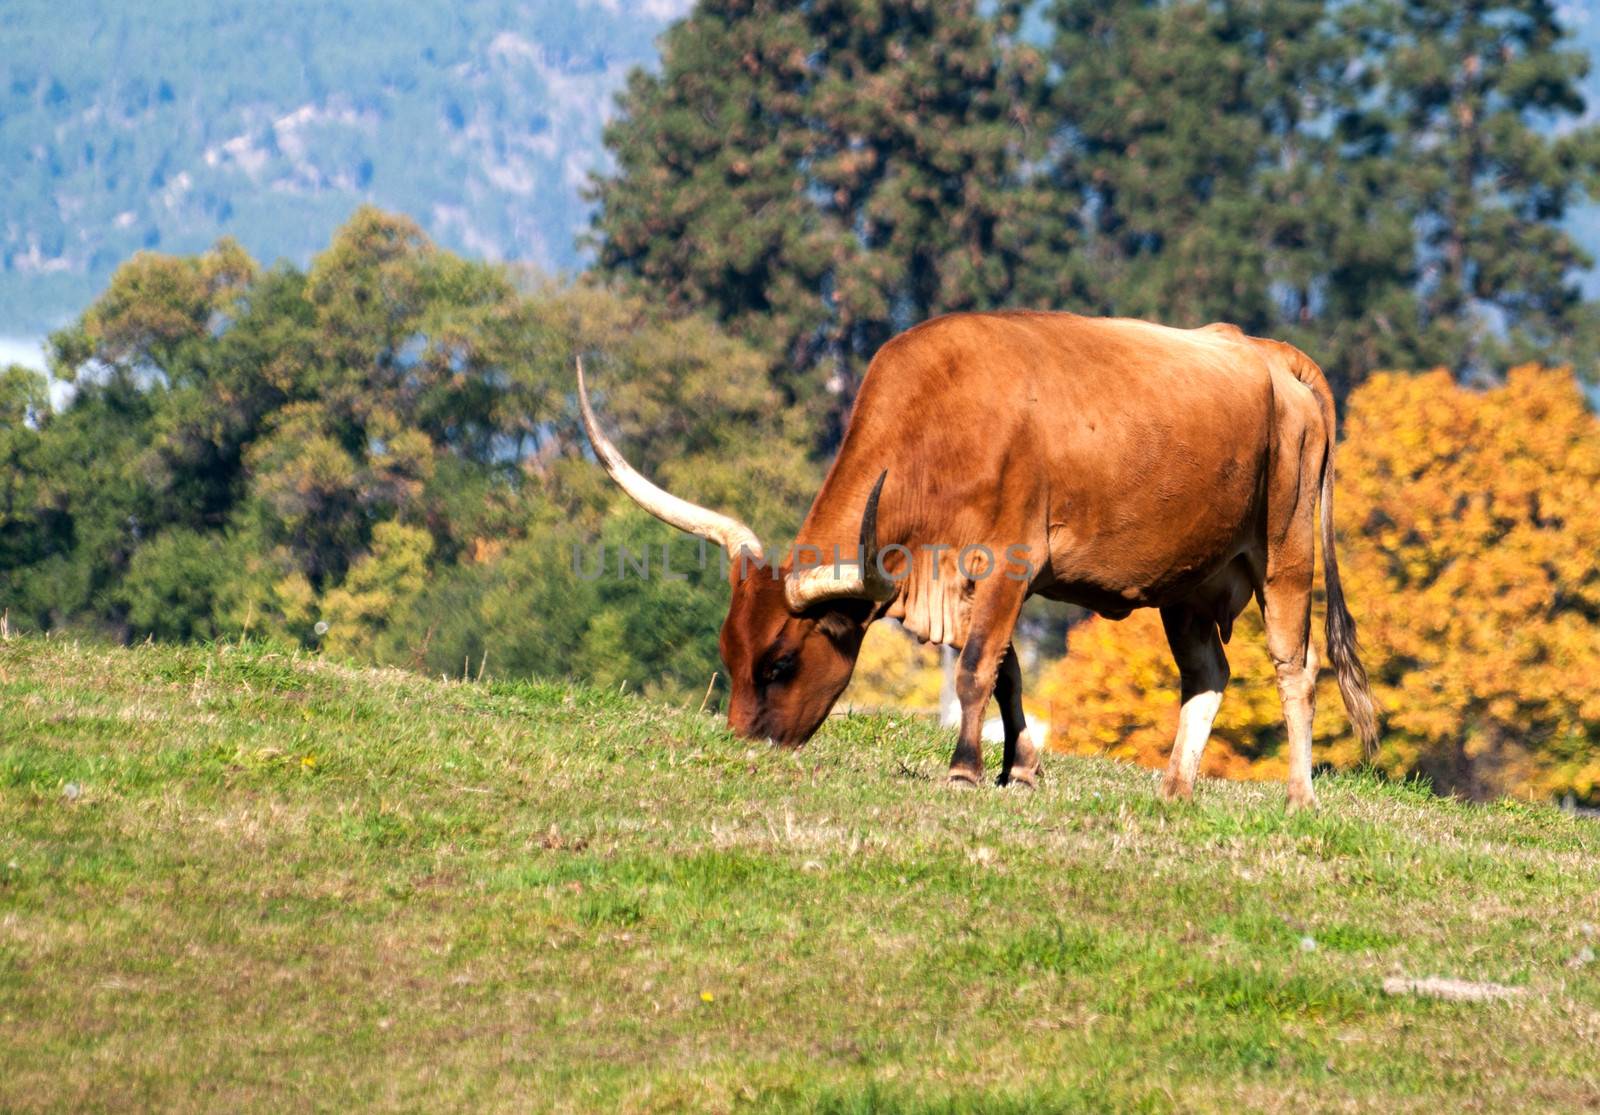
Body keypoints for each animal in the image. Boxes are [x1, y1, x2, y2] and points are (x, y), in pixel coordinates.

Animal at [582, 308, 1382, 803]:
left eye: (780, 662)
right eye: (728, 651)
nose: (743, 745)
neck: (940, 420)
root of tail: (1269, 354)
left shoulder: (1008, 563)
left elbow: (974, 670)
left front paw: (966, 770)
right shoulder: (973, 583)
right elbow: (1005, 673)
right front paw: (1018, 767)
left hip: (1285, 554)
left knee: (1296, 667)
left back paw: (1300, 795)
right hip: (1188, 584)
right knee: (1208, 673)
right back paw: (1175, 788)